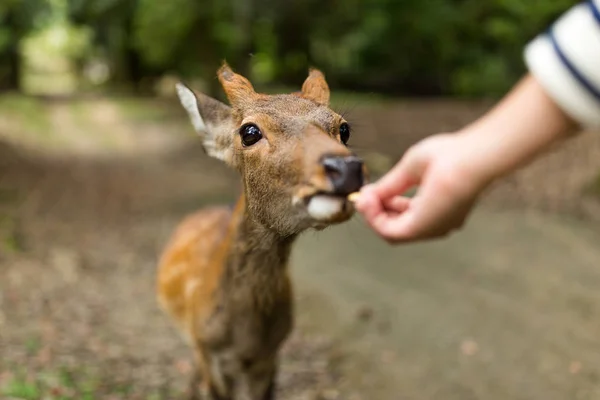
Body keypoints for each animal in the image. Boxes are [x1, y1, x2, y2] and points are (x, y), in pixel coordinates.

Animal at [156, 63, 366, 400]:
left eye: (343, 129)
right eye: (250, 132)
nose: (346, 168)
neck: (246, 337)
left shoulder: (270, 355)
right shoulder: (210, 352)